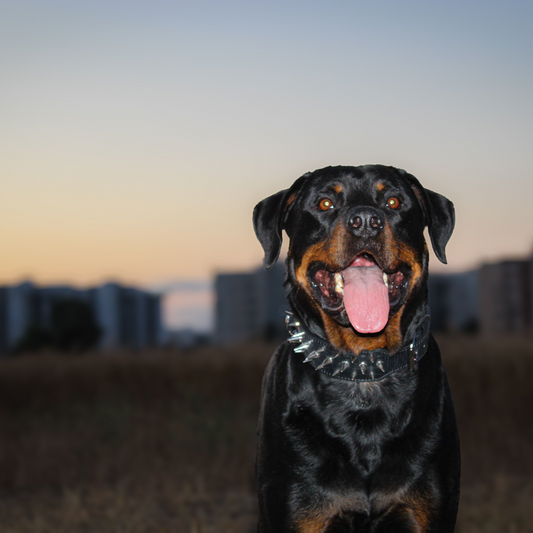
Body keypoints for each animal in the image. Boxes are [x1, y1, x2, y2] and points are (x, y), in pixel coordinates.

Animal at [252, 164, 458, 528]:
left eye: (393, 201)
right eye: (324, 203)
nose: (365, 221)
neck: (362, 369)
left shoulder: (426, 513)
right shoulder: (301, 513)